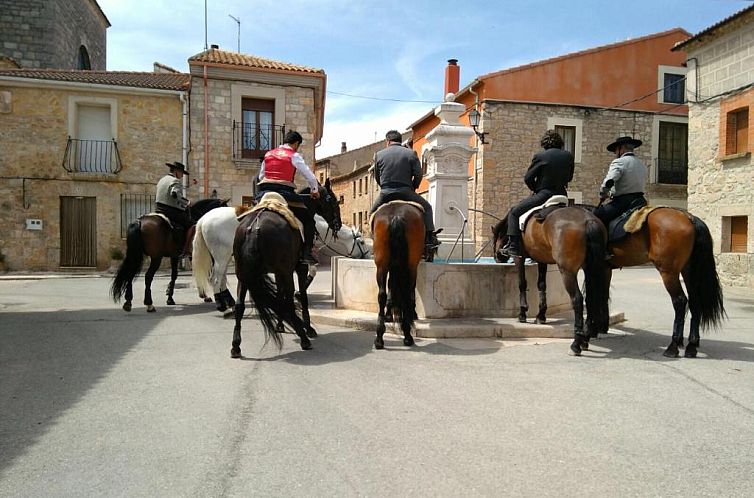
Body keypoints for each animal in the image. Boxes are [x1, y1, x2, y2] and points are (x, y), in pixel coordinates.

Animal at [231, 183, 342, 358]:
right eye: (332, 200)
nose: (339, 224)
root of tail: (254, 227)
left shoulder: (278, 272)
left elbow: (278, 295)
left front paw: (280, 325)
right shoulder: (298, 268)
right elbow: (301, 296)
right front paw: (308, 328)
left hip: (244, 274)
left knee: (239, 305)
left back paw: (236, 345)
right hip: (285, 271)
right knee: (290, 302)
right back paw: (304, 338)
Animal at [372, 202, 428, 350]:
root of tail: (396, 215)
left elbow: (391, 289)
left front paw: (388, 315)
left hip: (382, 265)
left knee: (382, 295)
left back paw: (379, 337)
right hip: (411, 266)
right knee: (408, 293)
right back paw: (407, 334)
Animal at [494, 204, 612, 356]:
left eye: (495, 237)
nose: (497, 257)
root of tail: (588, 221)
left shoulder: (519, 258)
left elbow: (522, 283)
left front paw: (522, 313)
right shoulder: (541, 259)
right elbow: (541, 285)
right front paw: (541, 315)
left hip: (567, 272)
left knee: (577, 299)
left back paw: (576, 344)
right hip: (591, 269)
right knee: (592, 299)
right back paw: (585, 339)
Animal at [588, 206, 724, 358]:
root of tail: (690, 218)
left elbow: (593, 295)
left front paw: (592, 329)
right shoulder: (605, 270)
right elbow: (602, 296)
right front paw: (600, 327)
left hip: (669, 273)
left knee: (680, 301)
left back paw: (673, 346)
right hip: (688, 271)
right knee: (695, 302)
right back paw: (691, 346)